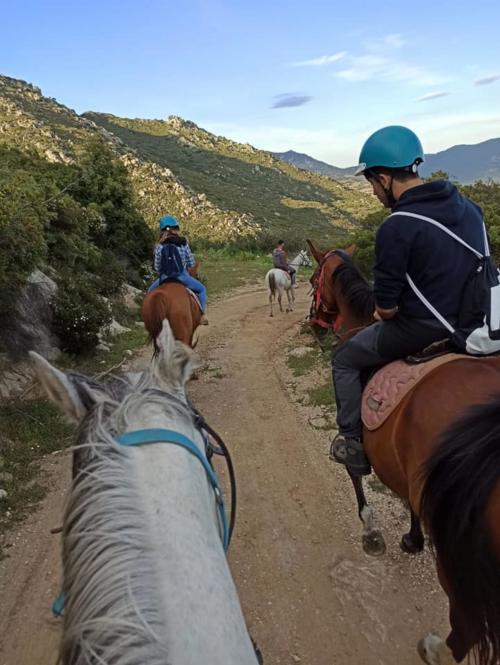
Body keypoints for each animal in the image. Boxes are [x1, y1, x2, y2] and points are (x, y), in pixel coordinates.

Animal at [306, 240, 500, 664]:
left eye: (312, 279)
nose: (313, 323)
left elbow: (356, 477)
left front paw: (370, 532)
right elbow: (410, 501)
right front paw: (412, 538)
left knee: (466, 623)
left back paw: (435, 650)